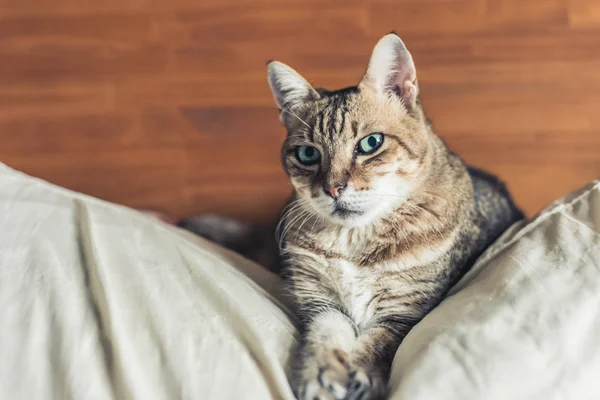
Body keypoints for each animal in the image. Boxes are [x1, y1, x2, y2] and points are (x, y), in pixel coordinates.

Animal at [180, 32, 524, 398]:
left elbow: (380, 343)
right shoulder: (320, 301)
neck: (354, 243)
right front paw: (321, 373)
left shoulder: (405, 311)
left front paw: (360, 373)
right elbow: (325, 333)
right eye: (307, 154)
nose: (333, 188)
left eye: (371, 143)